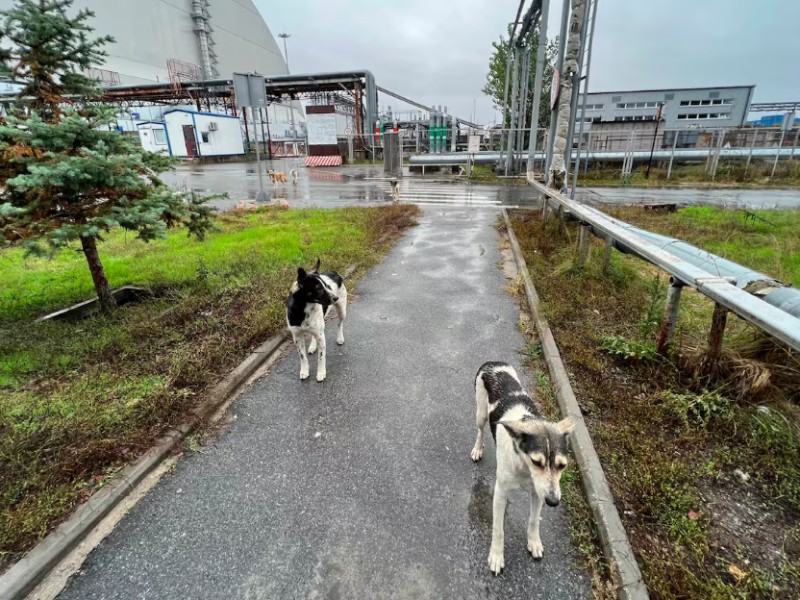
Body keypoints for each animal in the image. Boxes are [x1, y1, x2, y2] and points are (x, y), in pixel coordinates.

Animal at [468, 360, 576, 576]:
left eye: (562, 465)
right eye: (537, 462)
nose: (554, 502)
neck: (525, 468)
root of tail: (493, 362)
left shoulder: (539, 493)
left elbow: (534, 520)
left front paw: (534, 542)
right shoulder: (500, 492)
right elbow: (498, 530)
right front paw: (496, 556)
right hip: (481, 413)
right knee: (480, 431)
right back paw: (478, 448)